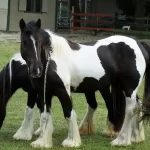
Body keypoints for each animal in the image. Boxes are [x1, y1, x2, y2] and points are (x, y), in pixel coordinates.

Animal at [18, 18, 150, 148]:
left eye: (39, 42)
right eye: (24, 42)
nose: (36, 69)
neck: (53, 59)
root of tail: (139, 44)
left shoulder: (63, 91)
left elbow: (68, 112)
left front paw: (71, 141)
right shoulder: (43, 93)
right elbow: (44, 115)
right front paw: (42, 142)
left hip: (129, 88)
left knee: (131, 109)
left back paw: (121, 140)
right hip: (124, 87)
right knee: (138, 105)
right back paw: (135, 137)